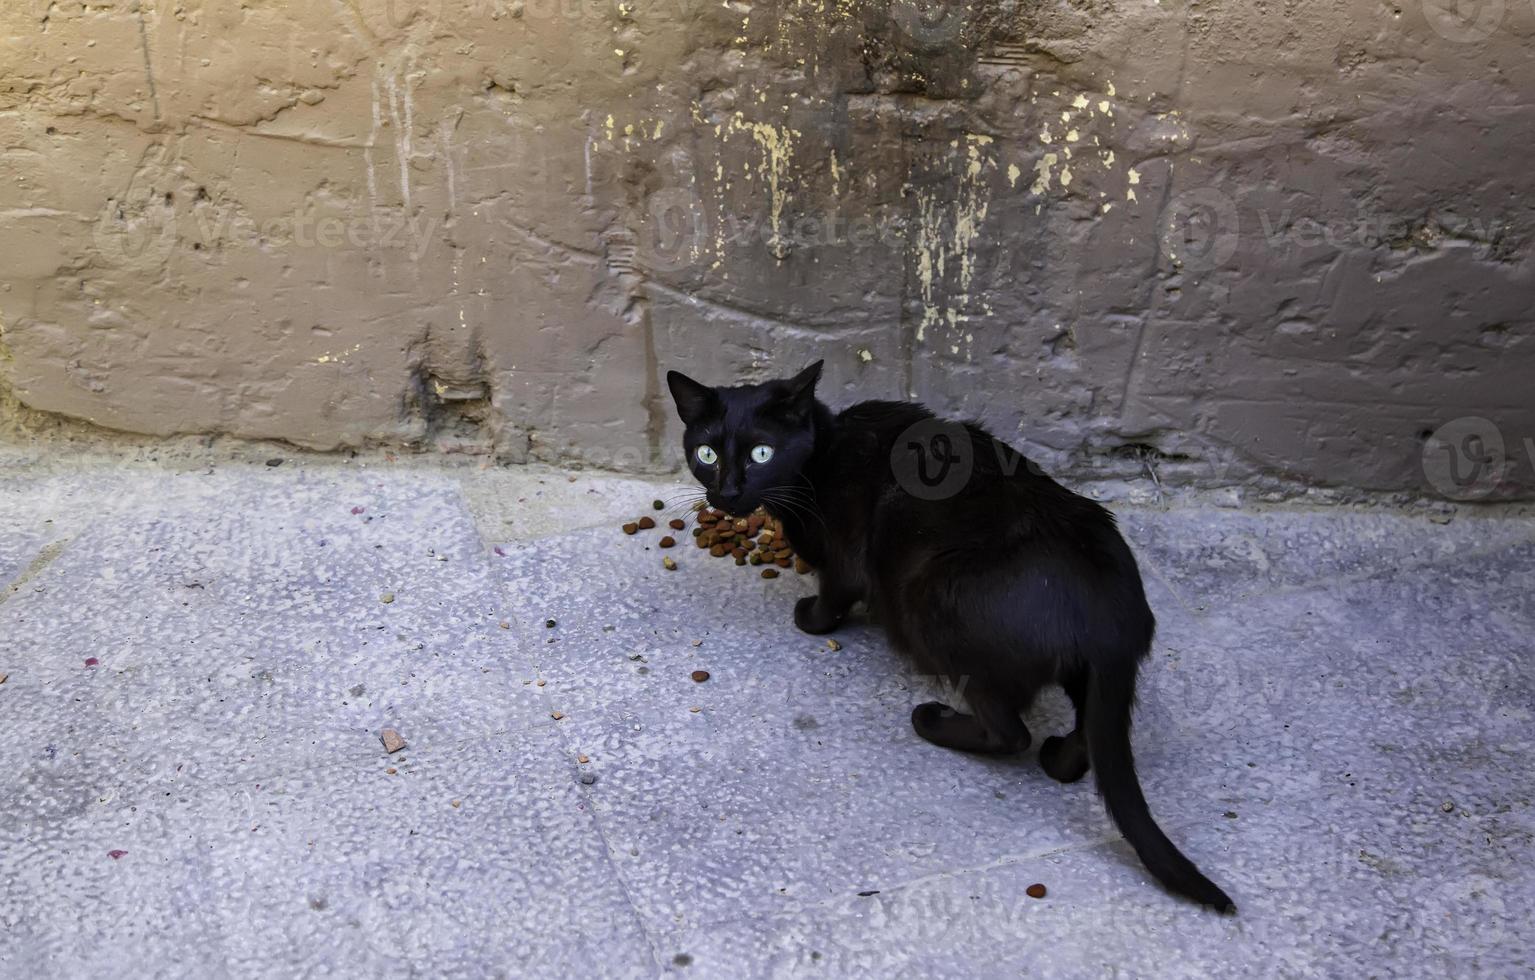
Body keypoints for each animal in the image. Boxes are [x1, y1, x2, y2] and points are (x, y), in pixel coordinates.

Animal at [669, 365, 1234, 915]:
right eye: (707, 454)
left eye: (762, 453)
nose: (727, 491)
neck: (820, 457)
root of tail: (1111, 620)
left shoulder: (845, 561)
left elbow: (832, 598)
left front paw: (809, 616)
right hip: (1085, 674)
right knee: (1088, 733)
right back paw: (1059, 758)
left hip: (932, 602)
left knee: (1010, 732)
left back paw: (934, 722)